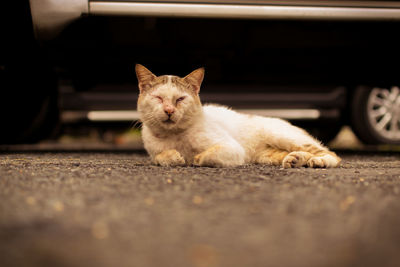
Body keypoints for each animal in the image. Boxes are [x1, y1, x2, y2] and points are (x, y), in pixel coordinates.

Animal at [135, 64, 340, 169]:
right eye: (158, 98)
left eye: (180, 99)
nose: (169, 110)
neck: (175, 136)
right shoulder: (153, 153)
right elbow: (160, 157)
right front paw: (174, 157)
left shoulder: (232, 149)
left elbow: (208, 155)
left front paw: (196, 158)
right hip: (266, 156)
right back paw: (295, 160)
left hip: (282, 137)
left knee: (331, 154)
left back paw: (319, 162)